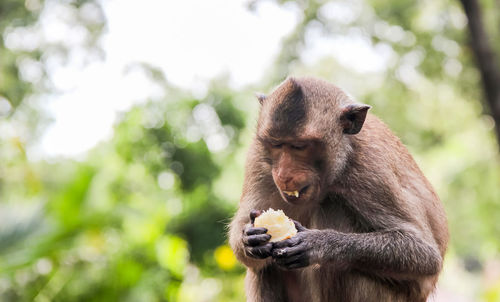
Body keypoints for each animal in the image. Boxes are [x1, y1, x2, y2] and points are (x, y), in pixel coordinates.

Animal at [229, 77, 448, 302]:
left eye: (299, 146)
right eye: (276, 144)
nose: (283, 175)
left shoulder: (371, 169)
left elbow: (425, 254)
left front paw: (320, 243)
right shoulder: (257, 156)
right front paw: (249, 238)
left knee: (333, 211)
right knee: (263, 268)